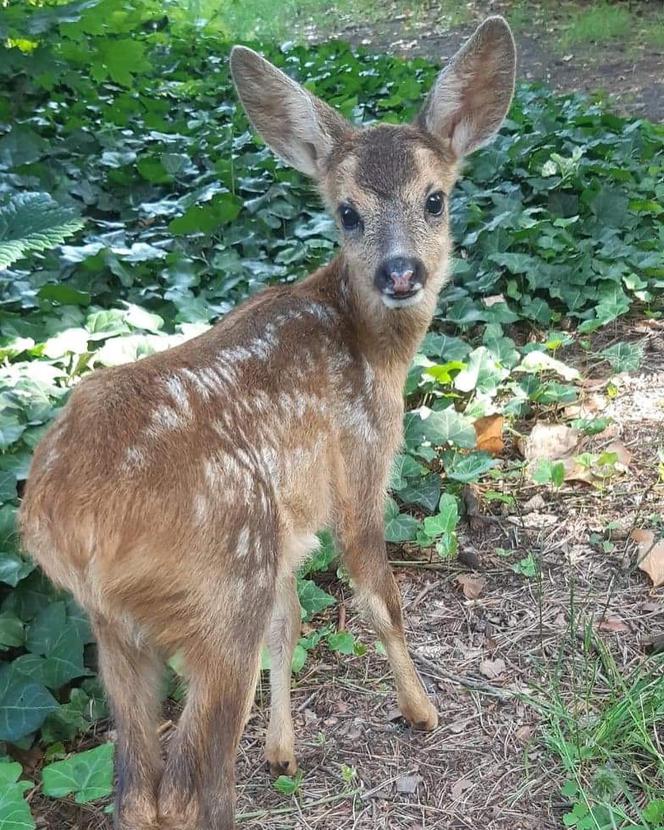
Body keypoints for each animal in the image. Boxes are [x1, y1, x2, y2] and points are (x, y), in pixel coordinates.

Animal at [20, 19, 516, 830]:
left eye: (436, 198)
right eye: (347, 212)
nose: (401, 274)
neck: (372, 349)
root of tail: (68, 519)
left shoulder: (289, 529)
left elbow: (292, 625)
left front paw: (283, 752)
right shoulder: (358, 467)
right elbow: (381, 598)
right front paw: (422, 711)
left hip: (115, 625)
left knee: (135, 786)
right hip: (224, 581)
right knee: (190, 782)